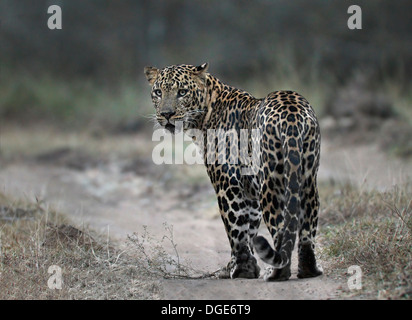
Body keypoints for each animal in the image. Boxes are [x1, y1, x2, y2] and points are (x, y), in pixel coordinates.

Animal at [143, 62, 324, 280]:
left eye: (182, 92)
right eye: (158, 92)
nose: (166, 114)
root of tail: (292, 113)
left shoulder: (227, 182)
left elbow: (235, 228)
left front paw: (241, 270)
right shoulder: (249, 189)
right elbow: (249, 228)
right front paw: (240, 266)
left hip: (272, 184)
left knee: (282, 228)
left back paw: (276, 272)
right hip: (307, 179)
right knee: (307, 228)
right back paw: (309, 270)